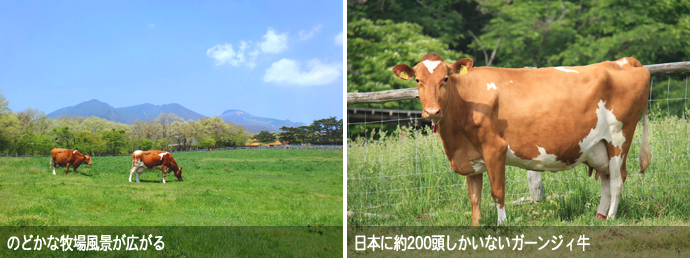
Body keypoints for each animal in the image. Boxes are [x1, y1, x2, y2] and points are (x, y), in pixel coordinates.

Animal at [392, 53, 652, 225]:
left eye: (445, 79)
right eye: (418, 80)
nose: (432, 112)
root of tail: (626, 61)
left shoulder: (494, 149)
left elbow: (497, 192)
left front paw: (502, 225)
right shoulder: (470, 157)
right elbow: (474, 197)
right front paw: (476, 228)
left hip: (619, 139)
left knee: (617, 180)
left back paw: (611, 218)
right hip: (600, 146)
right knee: (606, 180)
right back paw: (599, 217)